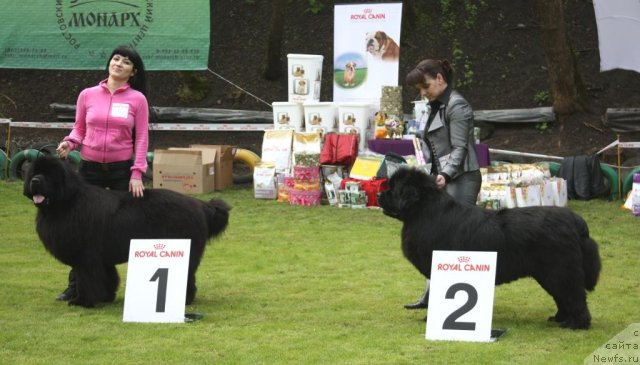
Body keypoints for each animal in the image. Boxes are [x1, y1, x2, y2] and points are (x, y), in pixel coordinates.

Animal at [23, 156, 231, 308]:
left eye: (49, 175)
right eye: (34, 172)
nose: (35, 180)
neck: (67, 201)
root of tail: (200, 205)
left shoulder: (86, 256)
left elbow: (87, 279)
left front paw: (83, 301)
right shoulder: (101, 257)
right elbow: (107, 277)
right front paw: (106, 297)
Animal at [378, 166, 596, 328]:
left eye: (393, 188)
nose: (379, 194)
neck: (423, 211)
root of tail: (576, 221)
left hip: (559, 270)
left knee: (574, 295)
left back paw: (576, 324)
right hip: (549, 273)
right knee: (563, 296)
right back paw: (560, 318)